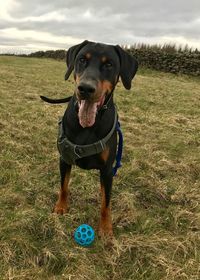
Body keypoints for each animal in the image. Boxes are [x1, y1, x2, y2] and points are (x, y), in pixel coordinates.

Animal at [40, 40, 138, 236]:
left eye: (109, 65)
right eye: (82, 60)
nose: (85, 88)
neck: (87, 127)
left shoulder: (107, 170)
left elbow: (106, 203)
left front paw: (106, 228)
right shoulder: (64, 159)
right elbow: (63, 186)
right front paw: (61, 207)